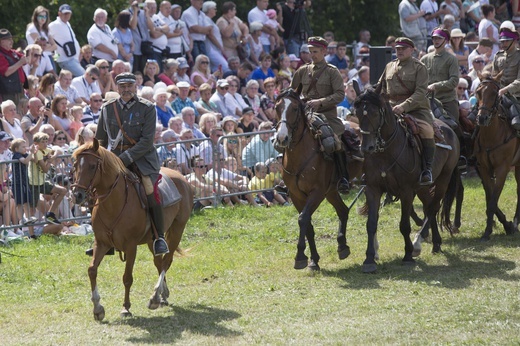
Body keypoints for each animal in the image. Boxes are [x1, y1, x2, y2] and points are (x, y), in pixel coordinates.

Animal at [72, 139, 194, 320]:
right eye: (75, 165)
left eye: (93, 166)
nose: (77, 195)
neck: (113, 204)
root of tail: (182, 178)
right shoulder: (101, 243)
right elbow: (92, 270)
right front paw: (98, 308)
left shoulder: (131, 247)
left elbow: (127, 277)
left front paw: (125, 307)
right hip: (153, 239)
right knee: (159, 262)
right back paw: (162, 295)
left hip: (177, 229)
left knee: (166, 261)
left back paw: (155, 296)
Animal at [276, 86, 362, 270]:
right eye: (277, 108)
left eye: (295, 108)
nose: (281, 138)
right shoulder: (297, 195)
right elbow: (307, 224)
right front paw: (313, 260)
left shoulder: (317, 192)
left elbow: (303, 219)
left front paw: (300, 256)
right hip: (332, 192)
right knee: (343, 211)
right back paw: (342, 246)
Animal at [354, 88, 460, 274]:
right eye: (358, 113)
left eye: (375, 113)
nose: (366, 147)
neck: (385, 151)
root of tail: (450, 129)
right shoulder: (373, 189)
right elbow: (371, 224)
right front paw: (369, 259)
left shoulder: (406, 191)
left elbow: (404, 224)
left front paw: (408, 255)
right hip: (422, 188)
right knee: (428, 207)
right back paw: (436, 243)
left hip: (443, 180)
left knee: (433, 208)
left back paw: (418, 243)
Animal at [476, 75, 520, 241]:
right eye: (478, 92)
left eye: (495, 93)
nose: (482, 118)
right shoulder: (484, 169)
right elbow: (490, 200)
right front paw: (489, 230)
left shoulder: (502, 169)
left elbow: (493, 201)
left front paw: (506, 226)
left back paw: (515, 223)